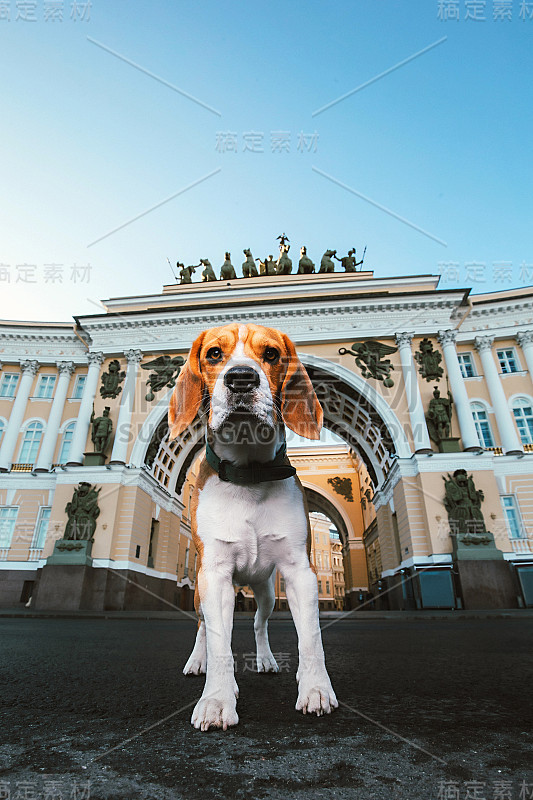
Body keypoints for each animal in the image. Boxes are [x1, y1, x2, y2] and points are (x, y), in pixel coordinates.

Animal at [169, 324, 336, 732]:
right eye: (214, 353)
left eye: (271, 354)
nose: (241, 378)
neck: (249, 477)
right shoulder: (214, 576)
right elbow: (219, 643)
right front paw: (216, 700)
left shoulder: (300, 573)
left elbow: (310, 639)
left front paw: (315, 689)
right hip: (201, 592)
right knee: (204, 629)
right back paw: (199, 662)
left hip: (266, 592)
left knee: (260, 624)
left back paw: (266, 660)